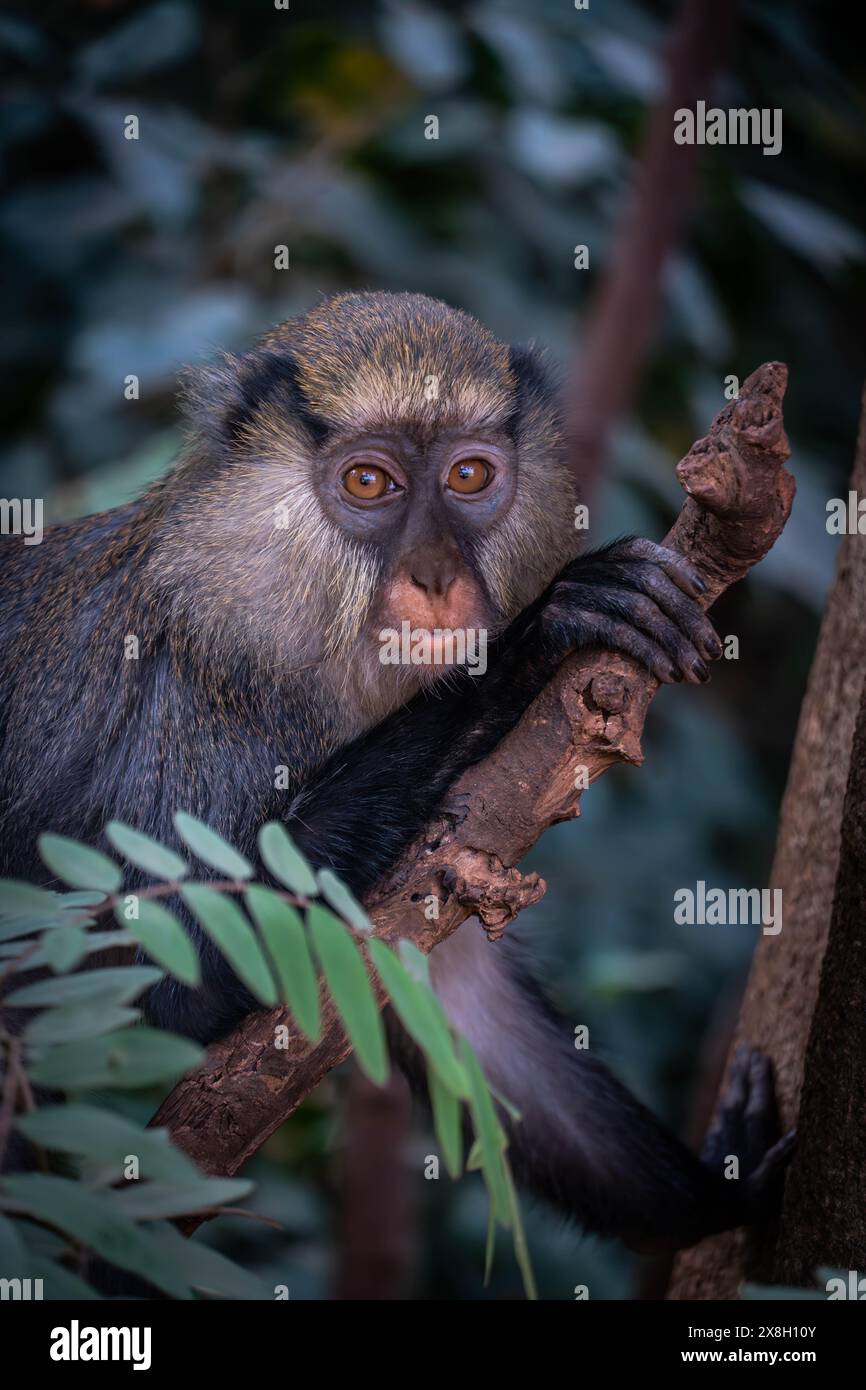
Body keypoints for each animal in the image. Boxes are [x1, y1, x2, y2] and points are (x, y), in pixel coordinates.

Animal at [0, 291, 788, 1253]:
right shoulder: (189, 708)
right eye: (370, 483)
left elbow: (474, 1022)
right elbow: (144, 969)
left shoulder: (478, 824)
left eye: (469, 476)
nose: (438, 578)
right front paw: (535, 638)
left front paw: (736, 1183)